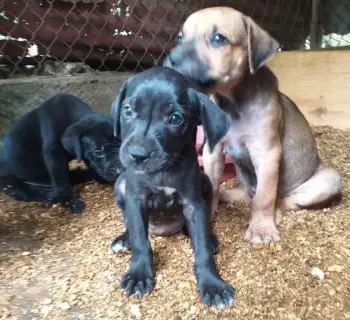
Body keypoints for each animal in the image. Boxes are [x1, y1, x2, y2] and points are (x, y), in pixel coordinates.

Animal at [110, 67, 234, 308]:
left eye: (175, 119)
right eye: (127, 110)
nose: (138, 155)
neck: (163, 171)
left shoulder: (193, 204)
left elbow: (202, 248)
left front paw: (212, 284)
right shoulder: (135, 200)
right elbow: (140, 239)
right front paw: (138, 274)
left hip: (205, 181)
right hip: (120, 185)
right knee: (130, 224)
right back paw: (123, 239)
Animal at [164, 6, 342, 242]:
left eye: (218, 38)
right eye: (179, 38)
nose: (171, 59)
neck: (232, 102)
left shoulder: (266, 153)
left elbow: (265, 197)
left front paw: (261, 228)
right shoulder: (213, 151)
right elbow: (212, 185)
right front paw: (208, 212)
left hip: (328, 180)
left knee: (282, 199)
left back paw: (275, 213)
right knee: (243, 194)